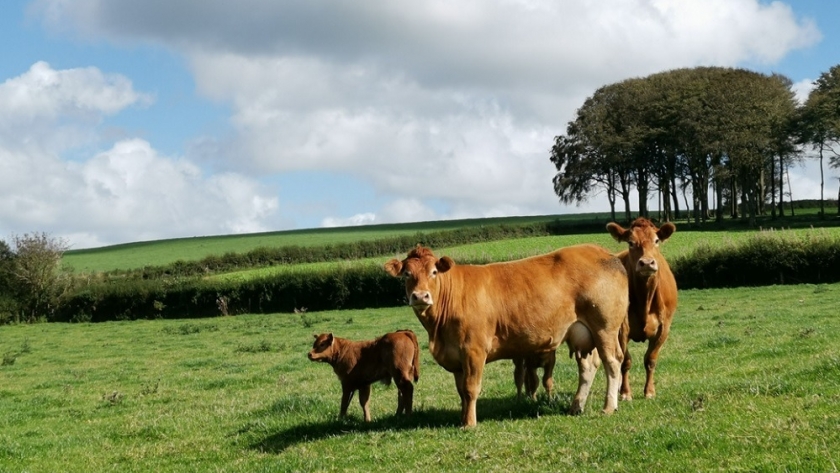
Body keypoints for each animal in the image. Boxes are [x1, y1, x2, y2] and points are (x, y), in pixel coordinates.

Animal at [384, 245, 628, 426]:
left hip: (605, 327)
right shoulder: (456, 358)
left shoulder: (473, 350)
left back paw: (609, 406)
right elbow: (462, 392)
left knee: (612, 362)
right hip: (582, 334)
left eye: (433, 272)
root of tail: (604, 253)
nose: (420, 296)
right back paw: (577, 406)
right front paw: (463, 418)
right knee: (588, 367)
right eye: (407, 274)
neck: (438, 330)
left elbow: (471, 389)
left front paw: (469, 423)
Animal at [604, 217, 676, 398]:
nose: (647, 263)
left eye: (656, 241)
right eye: (630, 242)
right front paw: (625, 392)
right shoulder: (622, 329)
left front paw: (649, 391)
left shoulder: (664, 328)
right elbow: (625, 361)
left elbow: (650, 359)